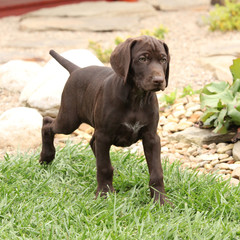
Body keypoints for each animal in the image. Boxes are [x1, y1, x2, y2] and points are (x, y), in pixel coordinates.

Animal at [39, 35, 170, 204]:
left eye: (163, 59)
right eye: (142, 59)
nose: (159, 80)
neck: (136, 98)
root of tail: (77, 70)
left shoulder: (151, 137)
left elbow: (156, 172)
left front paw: (160, 200)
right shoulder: (105, 135)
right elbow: (104, 167)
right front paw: (104, 194)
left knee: (92, 142)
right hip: (69, 119)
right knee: (47, 123)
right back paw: (46, 157)